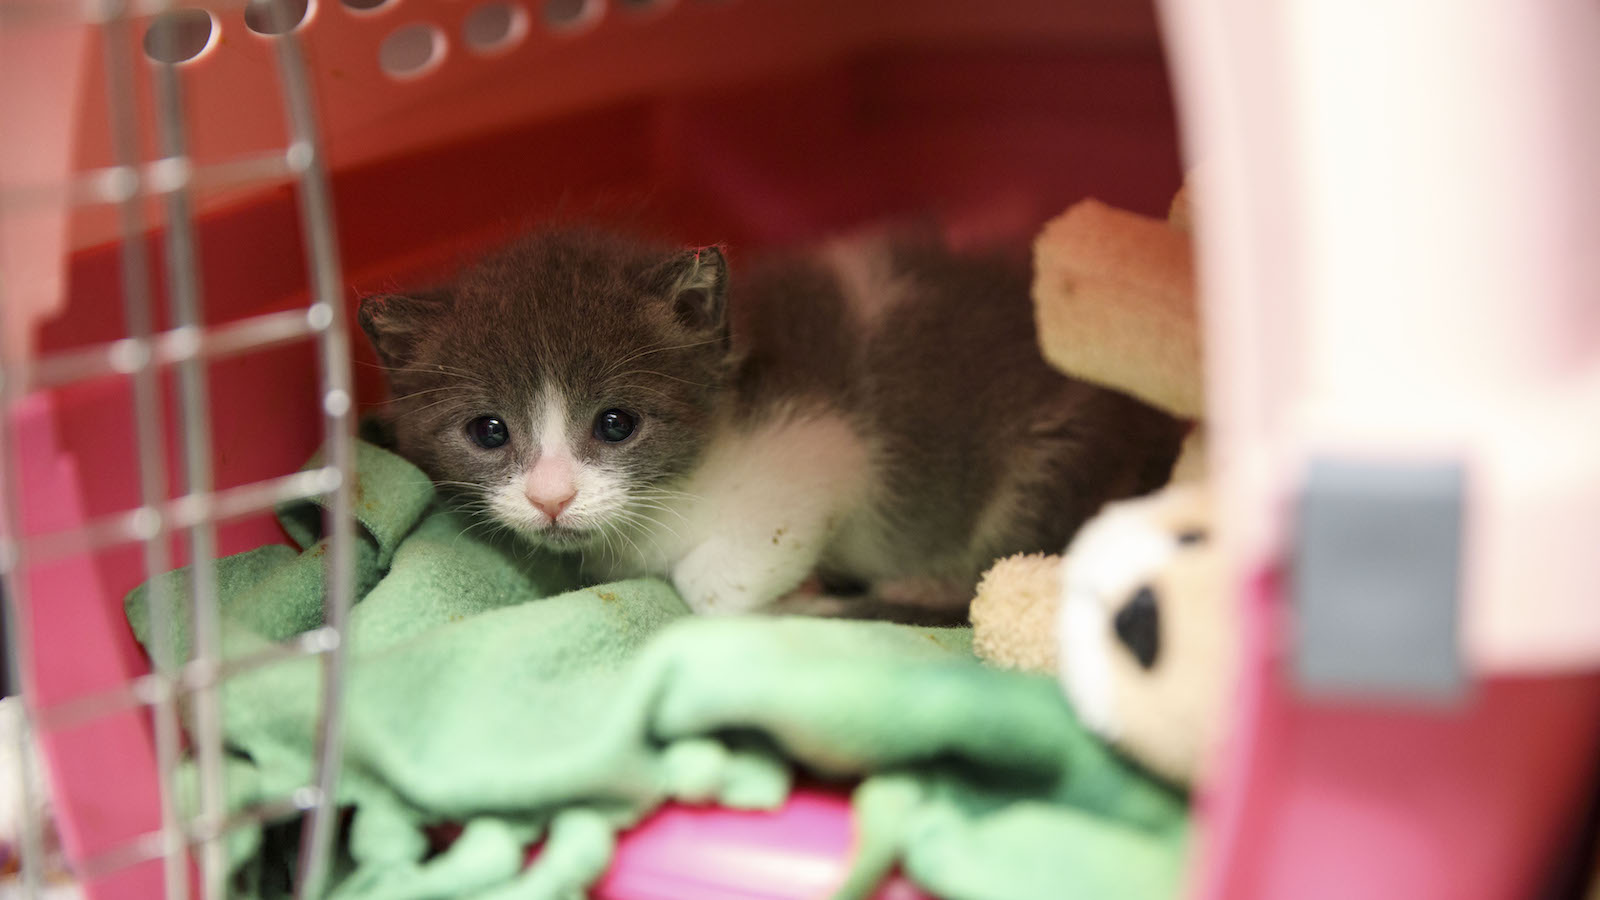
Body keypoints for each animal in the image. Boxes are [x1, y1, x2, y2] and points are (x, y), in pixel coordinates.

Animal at [363, 227, 1190, 611]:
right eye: (489, 431)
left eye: (616, 424)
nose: (551, 497)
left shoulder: (823, 450)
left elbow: (711, 581)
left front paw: (799, 596)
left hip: (1052, 465)